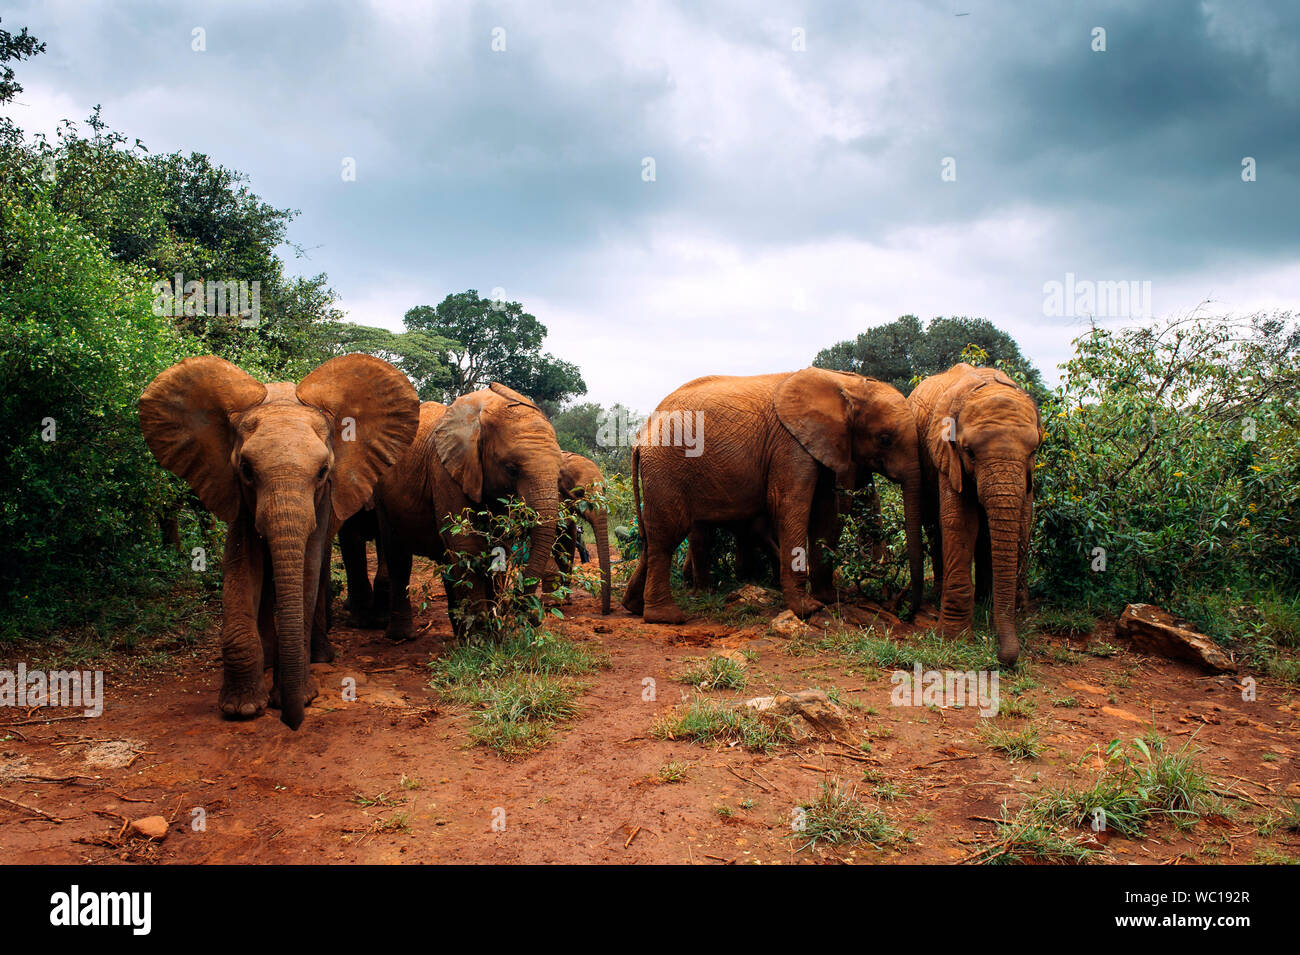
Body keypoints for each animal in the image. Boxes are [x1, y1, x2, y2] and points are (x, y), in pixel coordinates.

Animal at [139, 356, 418, 727]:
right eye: (246, 469)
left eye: (323, 471)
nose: (292, 722)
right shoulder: (238, 495)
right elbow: (242, 566)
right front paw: (242, 708)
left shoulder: (326, 498)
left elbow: (307, 567)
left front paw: (297, 696)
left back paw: (319, 657)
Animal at [374, 382, 561, 641]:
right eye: (512, 470)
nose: (533, 617)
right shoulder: (443, 470)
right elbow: (468, 546)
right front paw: (481, 641)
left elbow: (497, 548)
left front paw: (492, 637)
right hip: (382, 496)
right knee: (398, 556)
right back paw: (403, 637)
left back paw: (459, 635)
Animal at [543, 454, 613, 613]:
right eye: (580, 492)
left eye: (604, 491)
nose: (605, 612)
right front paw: (552, 603)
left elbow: (568, 539)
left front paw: (565, 601)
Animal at [621, 369, 920, 628]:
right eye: (884, 439)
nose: (903, 610)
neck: (843, 382)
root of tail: (640, 438)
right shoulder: (790, 445)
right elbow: (791, 507)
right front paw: (808, 609)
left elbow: (826, 512)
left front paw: (828, 599)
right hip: (667, 468)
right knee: (668, 536)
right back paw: (667, 617)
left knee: (652, 538)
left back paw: (633, 607)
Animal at [909, 361, 1040, 670]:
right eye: (968, 452)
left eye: (1034, 450)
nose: (1004, 658)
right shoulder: (946, 453)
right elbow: (961, 522)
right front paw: (953, 638)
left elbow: (1023, 521)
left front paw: (1018, 612)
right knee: (934, 525)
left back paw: (983, 599)